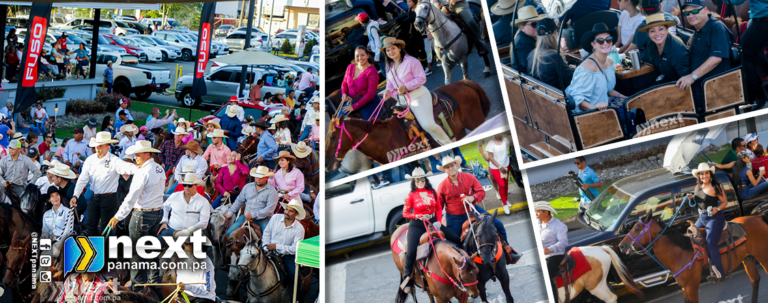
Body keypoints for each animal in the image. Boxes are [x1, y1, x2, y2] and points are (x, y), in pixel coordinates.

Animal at [326, 81, 492, 171]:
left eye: (333, 136)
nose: (327, 164)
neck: (385, 139)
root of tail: (463, 82)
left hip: (476, 121)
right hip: (461, 130)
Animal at [616, 213, 768, 302]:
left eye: (636, 229)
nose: (621, 246)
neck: (680, 254)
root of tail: (758, 218)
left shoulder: (692, 287)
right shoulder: (684, 288)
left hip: (763, 256)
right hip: (748, 258)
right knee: (755, 280)